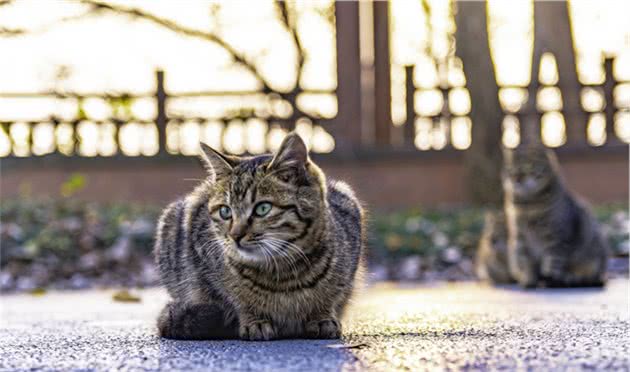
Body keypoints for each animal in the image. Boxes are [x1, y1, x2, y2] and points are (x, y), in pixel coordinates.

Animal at [154, 133, 368, 340]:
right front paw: (254, 320)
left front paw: (322, 316)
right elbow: (233, 297)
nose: (235, 235)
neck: (282, 273)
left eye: (262, 209)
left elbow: (332, 294)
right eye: (225, 211)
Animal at [504, 145, 608, 288]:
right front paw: (529, 281)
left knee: (584, 275)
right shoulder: (520, 237)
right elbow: (526, 262)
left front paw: (550, 280)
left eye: (528, 166)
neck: (528, 204)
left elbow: (553, 262)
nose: (517, 179)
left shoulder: (556, 237)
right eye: (511, 169)